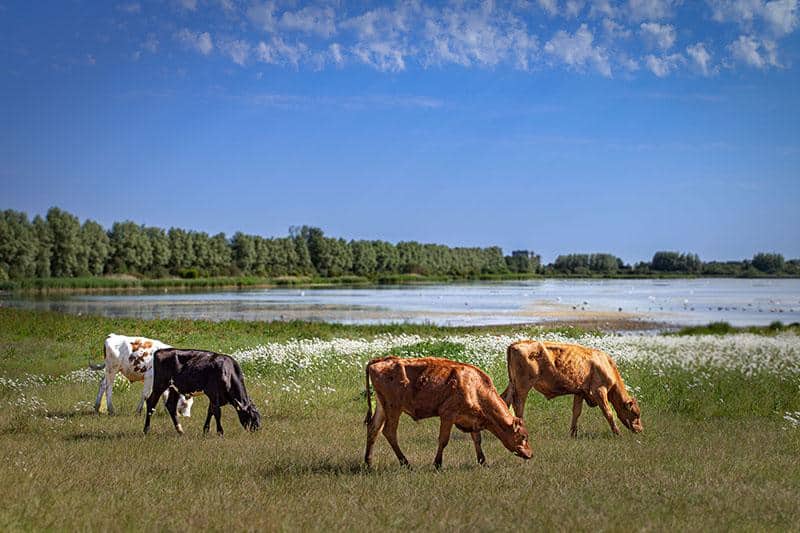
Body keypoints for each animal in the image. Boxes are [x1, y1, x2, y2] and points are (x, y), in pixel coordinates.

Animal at [364, 356, 532, 468]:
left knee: (373, 429)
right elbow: (443, 440)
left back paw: (368, 463)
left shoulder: (472, 419)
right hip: (393, 408)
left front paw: (483, 462)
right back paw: (406, 463)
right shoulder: (447, 416)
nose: (531, 454)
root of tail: (379, 361)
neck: (475, 387)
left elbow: (477, 440)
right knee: (389, 432)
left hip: (382, 407)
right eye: (523, 437)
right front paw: (437, 464)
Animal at [500, 340, 644, 436]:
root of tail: (516, 344)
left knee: (504, 400)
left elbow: (576, 412)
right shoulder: (599, 391)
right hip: (523, 386)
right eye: (636, 414)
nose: (641, 430)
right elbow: (608, 412)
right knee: (519, 405)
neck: (606, 365)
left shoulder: (580, 392)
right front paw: (617, 433)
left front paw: (573, 434)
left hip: (513, 384)